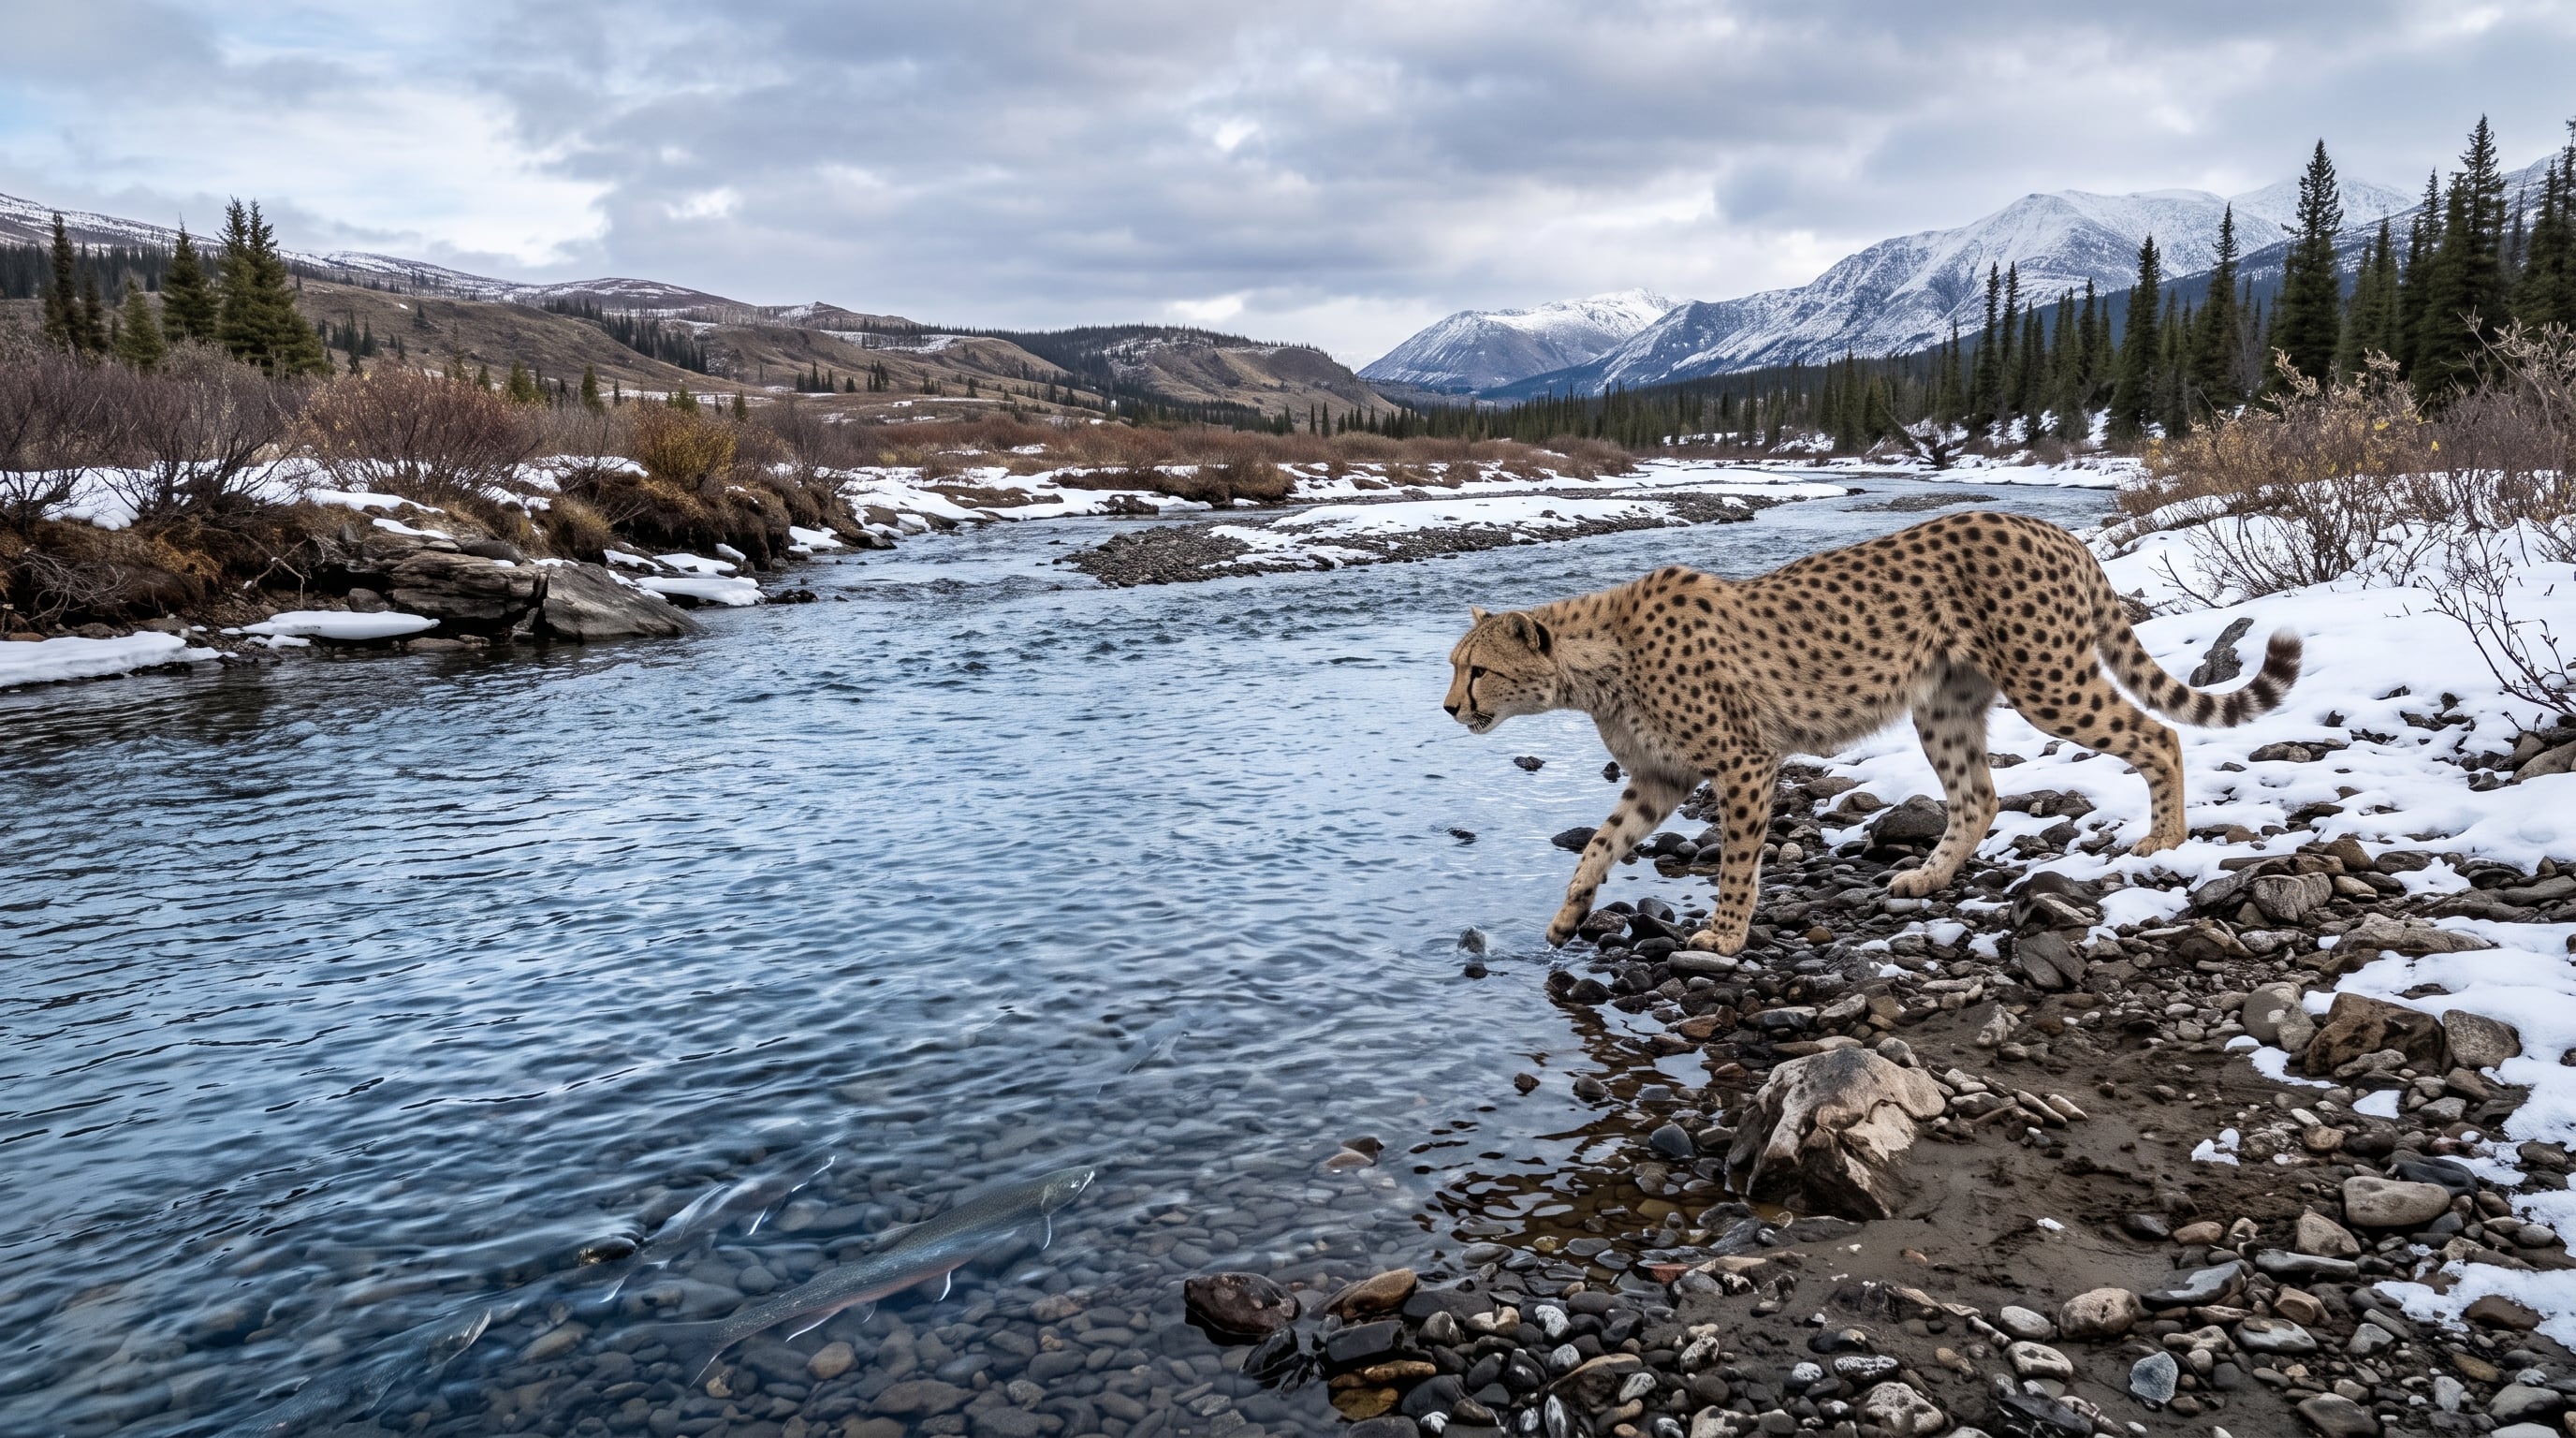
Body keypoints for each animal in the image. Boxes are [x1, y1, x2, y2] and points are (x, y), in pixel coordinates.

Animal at [1442, 509, 2300, 955]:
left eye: (1476, 670)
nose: (1449, 709)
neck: (1599, 659)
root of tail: (2054, 528)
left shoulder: (1744, 762)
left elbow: (1738, 860)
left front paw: (1723, 936)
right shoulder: (1661, 777)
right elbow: (1598, 844)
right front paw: (1569, 914)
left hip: (2049, 682)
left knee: (2159, 736)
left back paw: (2166, 838)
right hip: (1943, 705)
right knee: (1979, 796)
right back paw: (1927, 878)